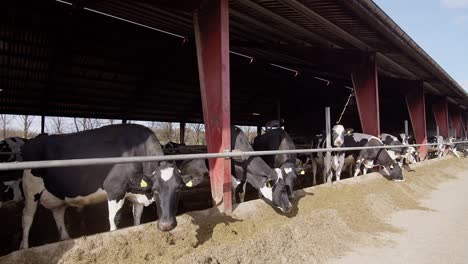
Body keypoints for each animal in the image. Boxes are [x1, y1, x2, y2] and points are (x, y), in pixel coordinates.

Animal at [19, 125, 201, 249]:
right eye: (155, 189)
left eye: (179, 189)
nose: (166, 225)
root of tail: (34, 140)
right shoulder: (115, 190)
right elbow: (114, 221)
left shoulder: (137, 195)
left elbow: (137, 219)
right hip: (31, 189)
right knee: (27, 218)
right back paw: (24, 248)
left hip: (57, 193)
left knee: (58, 213)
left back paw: (65, 238)